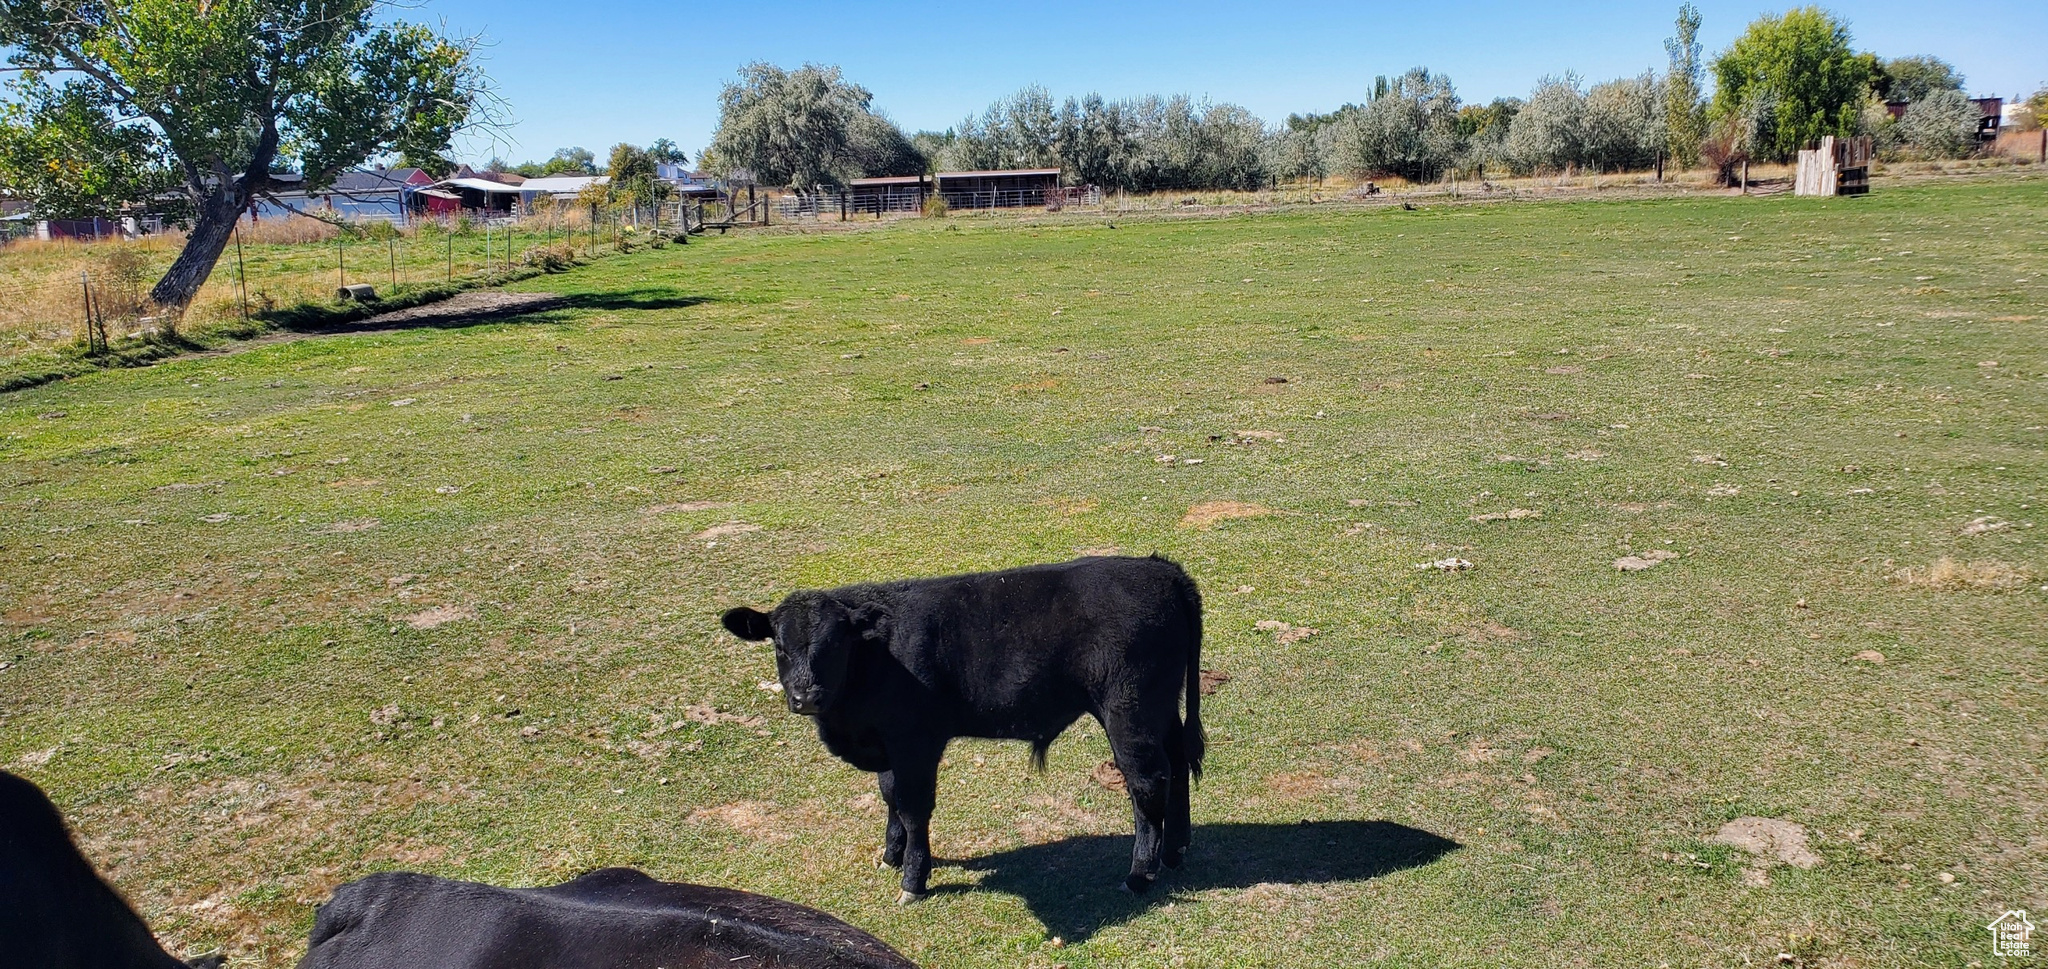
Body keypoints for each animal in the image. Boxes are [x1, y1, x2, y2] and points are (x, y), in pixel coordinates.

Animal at [724, 553, 1204, 897]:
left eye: (835, 644)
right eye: (780, 646)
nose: (806, 697)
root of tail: (1158, 567)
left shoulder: (915, 742)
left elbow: (913, 806)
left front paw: (913, 879)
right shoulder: (888, 742)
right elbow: (889, 795)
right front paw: (891, 853)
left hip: (1129, 710)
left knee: (1147, 781)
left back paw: (1140, 874)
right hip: (1162, 708)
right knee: (1178, 763)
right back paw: (1175, 850)